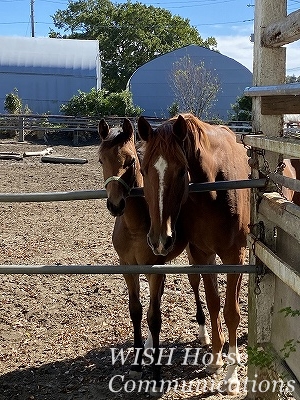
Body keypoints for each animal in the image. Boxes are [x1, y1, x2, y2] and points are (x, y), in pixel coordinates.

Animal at [98, 118, 209, 394]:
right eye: (101, 160)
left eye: (130, 161)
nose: (115, 205)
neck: (135, 226)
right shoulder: (128, 268)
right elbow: (137, 311)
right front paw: (137, 365)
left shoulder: (154, 269)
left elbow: (155, 318)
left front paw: (157, 374)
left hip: (191, 254)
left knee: (195, 283)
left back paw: (203, 333)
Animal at [138, 114, 251, 396]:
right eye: (143, 170)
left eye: (181, 170)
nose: (159, 239)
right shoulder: (203, 255)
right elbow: (213, 304)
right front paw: (216, 359)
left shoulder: (235, 257)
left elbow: (231, 312)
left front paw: (231, 376)